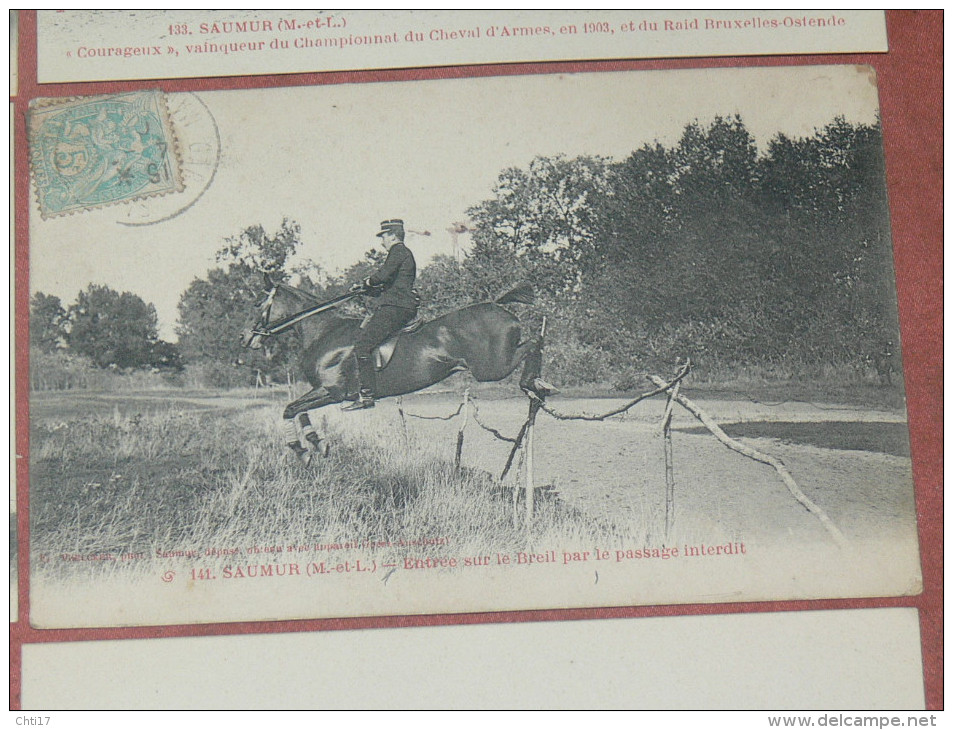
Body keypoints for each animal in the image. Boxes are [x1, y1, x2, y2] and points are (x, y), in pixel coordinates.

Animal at [242, 276, 548, 458]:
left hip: (491, 368)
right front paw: (316, 443)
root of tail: (499, 306)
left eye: (258, 303)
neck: (325, 332)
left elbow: (290, 409)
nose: (245, 338)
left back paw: (535, 383)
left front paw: (300, 448)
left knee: (533, 343)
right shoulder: (321, 392)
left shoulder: (332, 392)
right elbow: (298, 410)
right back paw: (539, 385)